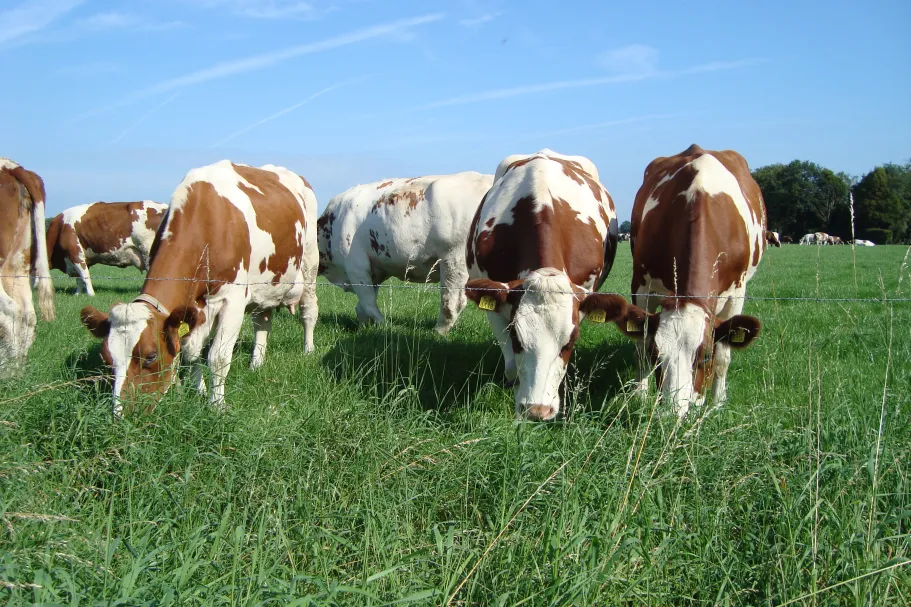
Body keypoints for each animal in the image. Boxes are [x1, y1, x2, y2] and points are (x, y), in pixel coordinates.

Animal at [80, 160, 319, 414]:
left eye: (150, 356)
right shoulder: (194, 307)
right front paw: (200, 391)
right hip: (265, 284)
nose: (121, 415)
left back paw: (308, 350)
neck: (207, 221)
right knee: (262, 321)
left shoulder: (233, 298)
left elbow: (218, 357)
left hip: (309, 264)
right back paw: (256, 363)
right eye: (107, 358)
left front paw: (217, 405)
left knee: (308, 312)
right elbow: (190, 352)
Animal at [318, 172, 494, 335]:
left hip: (453, 259)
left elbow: (368, 302)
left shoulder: (356, 267)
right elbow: (363, 305)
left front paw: (386, 326)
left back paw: (437, 332)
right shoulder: (373, 272)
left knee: (451, 301)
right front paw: (364, 328)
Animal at [615, 144, 765, 417]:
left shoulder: (737, 294)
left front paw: (717, 402)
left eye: (705, 356)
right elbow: (640, 344)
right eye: (656, 355)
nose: (674, 412)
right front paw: (640, 396)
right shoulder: (641, 286)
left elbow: (724, 355)